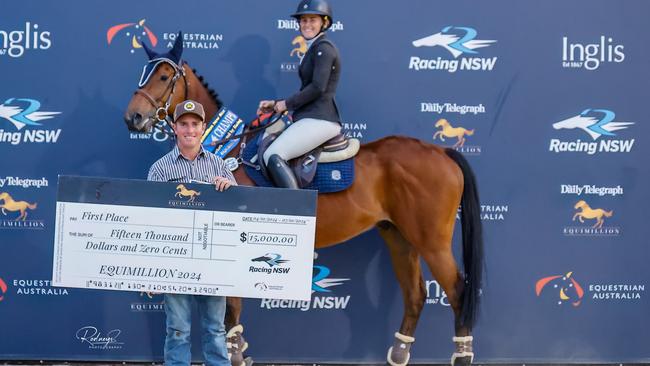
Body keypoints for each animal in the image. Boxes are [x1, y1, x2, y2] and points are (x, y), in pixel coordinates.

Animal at [124, 36, 484, 366]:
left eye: (164, 76)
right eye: (143, 74)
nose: (133, 118)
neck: (226, 150)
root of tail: (441, 151)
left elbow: (233, 304)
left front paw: (235, 354)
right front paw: (241, 351)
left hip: (431, 240)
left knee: (457, 289)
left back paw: (462, 355)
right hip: (398, 236)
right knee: (416, 293)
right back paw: (399, 353)